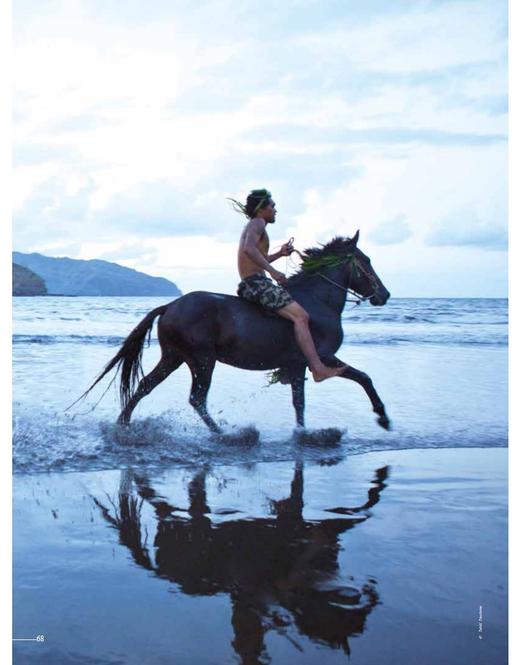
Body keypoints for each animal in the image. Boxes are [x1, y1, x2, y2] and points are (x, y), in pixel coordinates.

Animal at [81, 231, 390, 434]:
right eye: (366, 260)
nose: (384, 295)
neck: (317, 302)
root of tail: (169, 306)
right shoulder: (322, 357)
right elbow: (363, 378)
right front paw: (383, 418)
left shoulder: (297, 364)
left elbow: (299, 403)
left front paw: (302, 433)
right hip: (202, 360)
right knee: (197, 399)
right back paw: (223, 435)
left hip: (174, 357)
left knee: (145, 386)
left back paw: (123, 424)